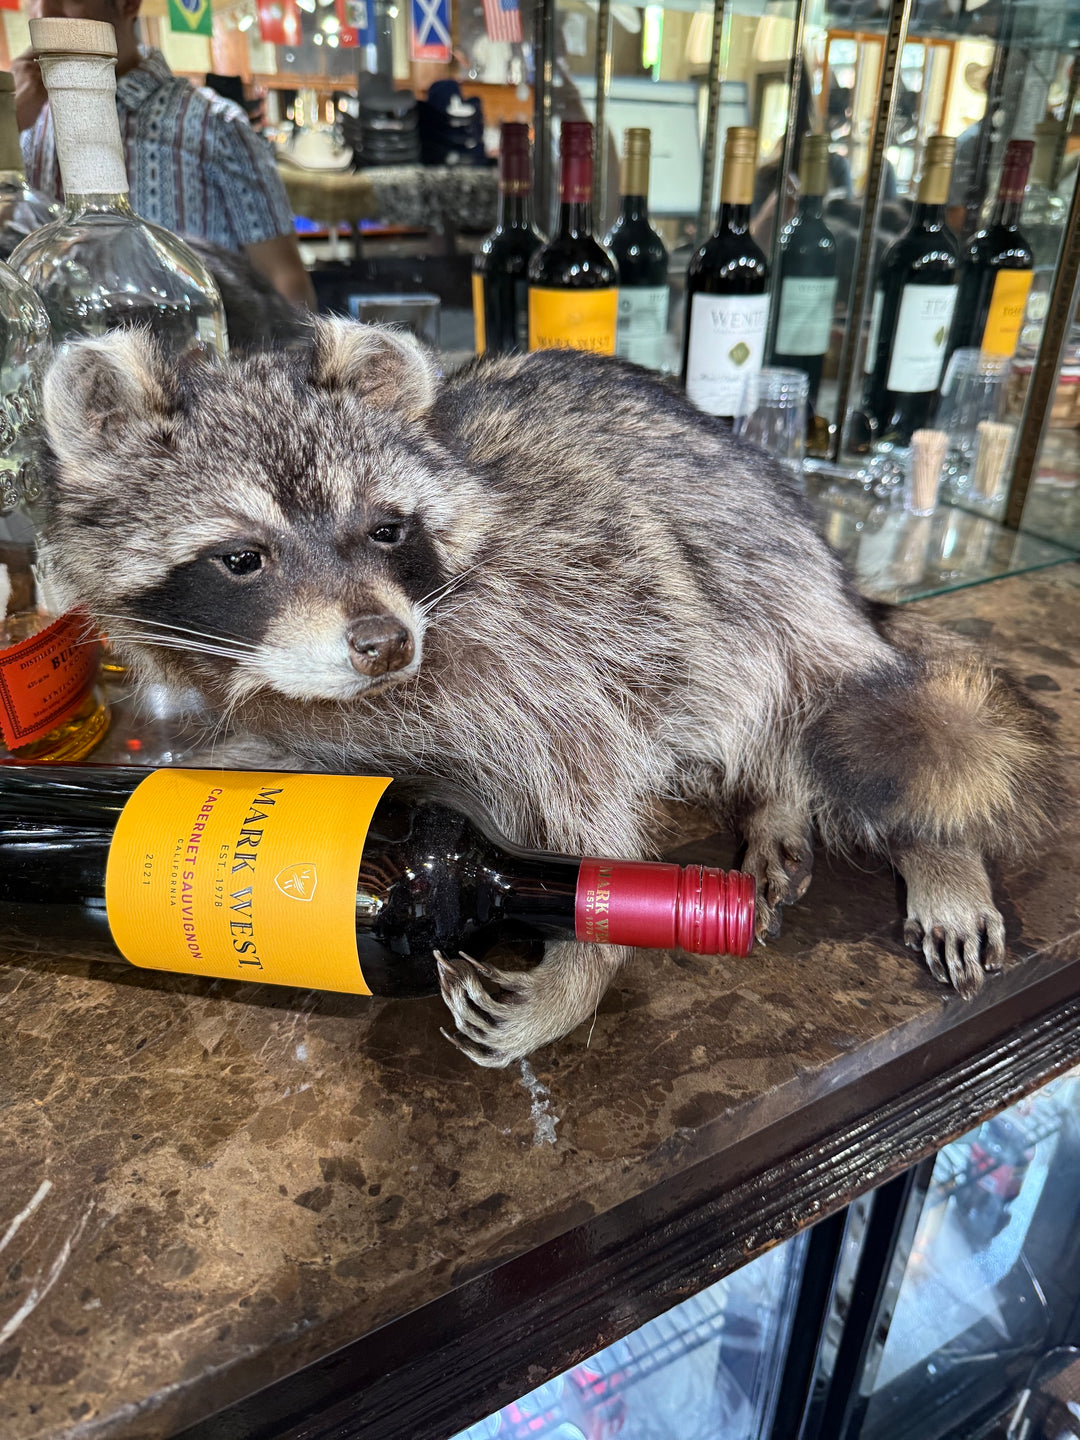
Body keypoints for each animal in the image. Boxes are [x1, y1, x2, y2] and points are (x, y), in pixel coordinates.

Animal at [36, 320, 1062, 1067]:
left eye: (386, 529)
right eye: (242, 557)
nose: (383, 645)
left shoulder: (558, 631)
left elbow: (587, 782)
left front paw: (585, 966)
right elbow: (266, 754)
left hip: (766, 569)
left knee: (867, 717)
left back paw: (916, 833)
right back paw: (779, 794)